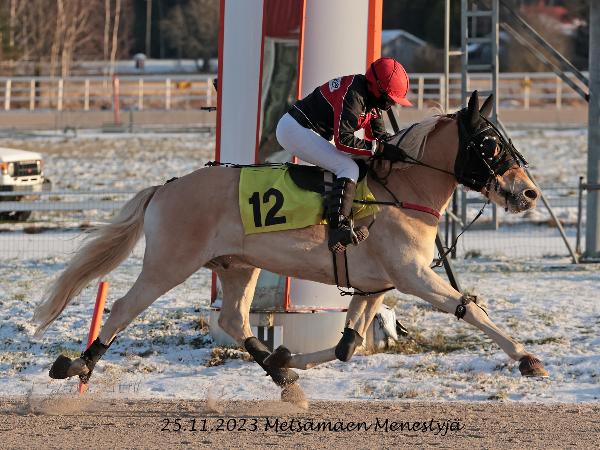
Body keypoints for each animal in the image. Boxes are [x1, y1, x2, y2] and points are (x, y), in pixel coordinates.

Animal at [33, 91, 548, 408]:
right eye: (489, 143)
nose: (529, 193)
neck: (403, 189)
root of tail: (166, 186)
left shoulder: (374, 286)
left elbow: (346, 347)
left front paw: (288, 361)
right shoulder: (413, 276)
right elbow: (468, 308)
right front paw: (527, 359)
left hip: (238, 266)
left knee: (234, 319)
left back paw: (283, 378)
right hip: (168, 264)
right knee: (122, 308)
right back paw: (75, 365)